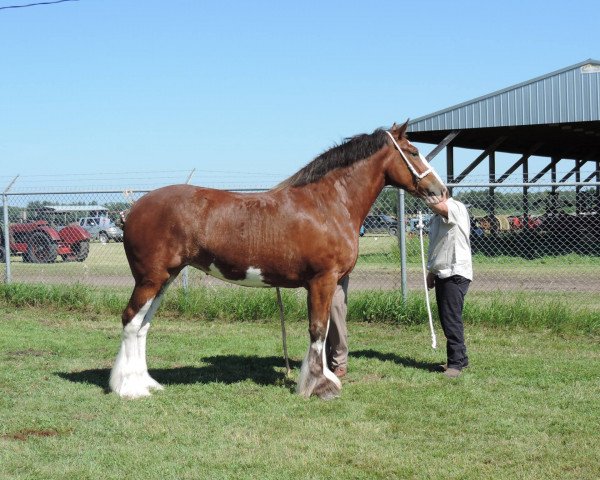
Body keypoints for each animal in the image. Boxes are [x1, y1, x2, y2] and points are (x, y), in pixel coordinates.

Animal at [109, 122, 446, 400]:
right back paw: (129, 388)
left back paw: (147, 382)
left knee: (143, 325)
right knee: (130, 320)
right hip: (150, 278)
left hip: (166, 278)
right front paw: (319, 386)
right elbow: (318, 329)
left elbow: (324, 331)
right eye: (414, 152)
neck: (327, 204)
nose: (440, 190)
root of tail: (134, 208)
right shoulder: (322, 280)